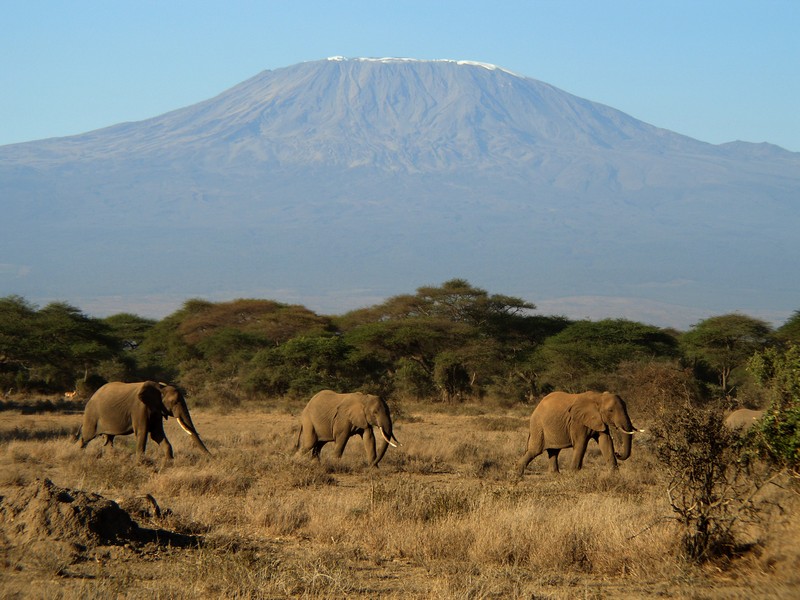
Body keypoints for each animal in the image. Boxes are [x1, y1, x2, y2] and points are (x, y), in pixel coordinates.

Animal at [75, 382, 211, 462]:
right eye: (175, 402)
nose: (211, 456)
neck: (160, 388)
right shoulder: (139, 408)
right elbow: (142, 432)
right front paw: (140, 464)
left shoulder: (156, 409)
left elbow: (157, 434)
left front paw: (169, 462)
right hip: (92, 415)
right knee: (86, 437)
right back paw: (78, 456)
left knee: (109, 440)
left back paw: (111, 459)